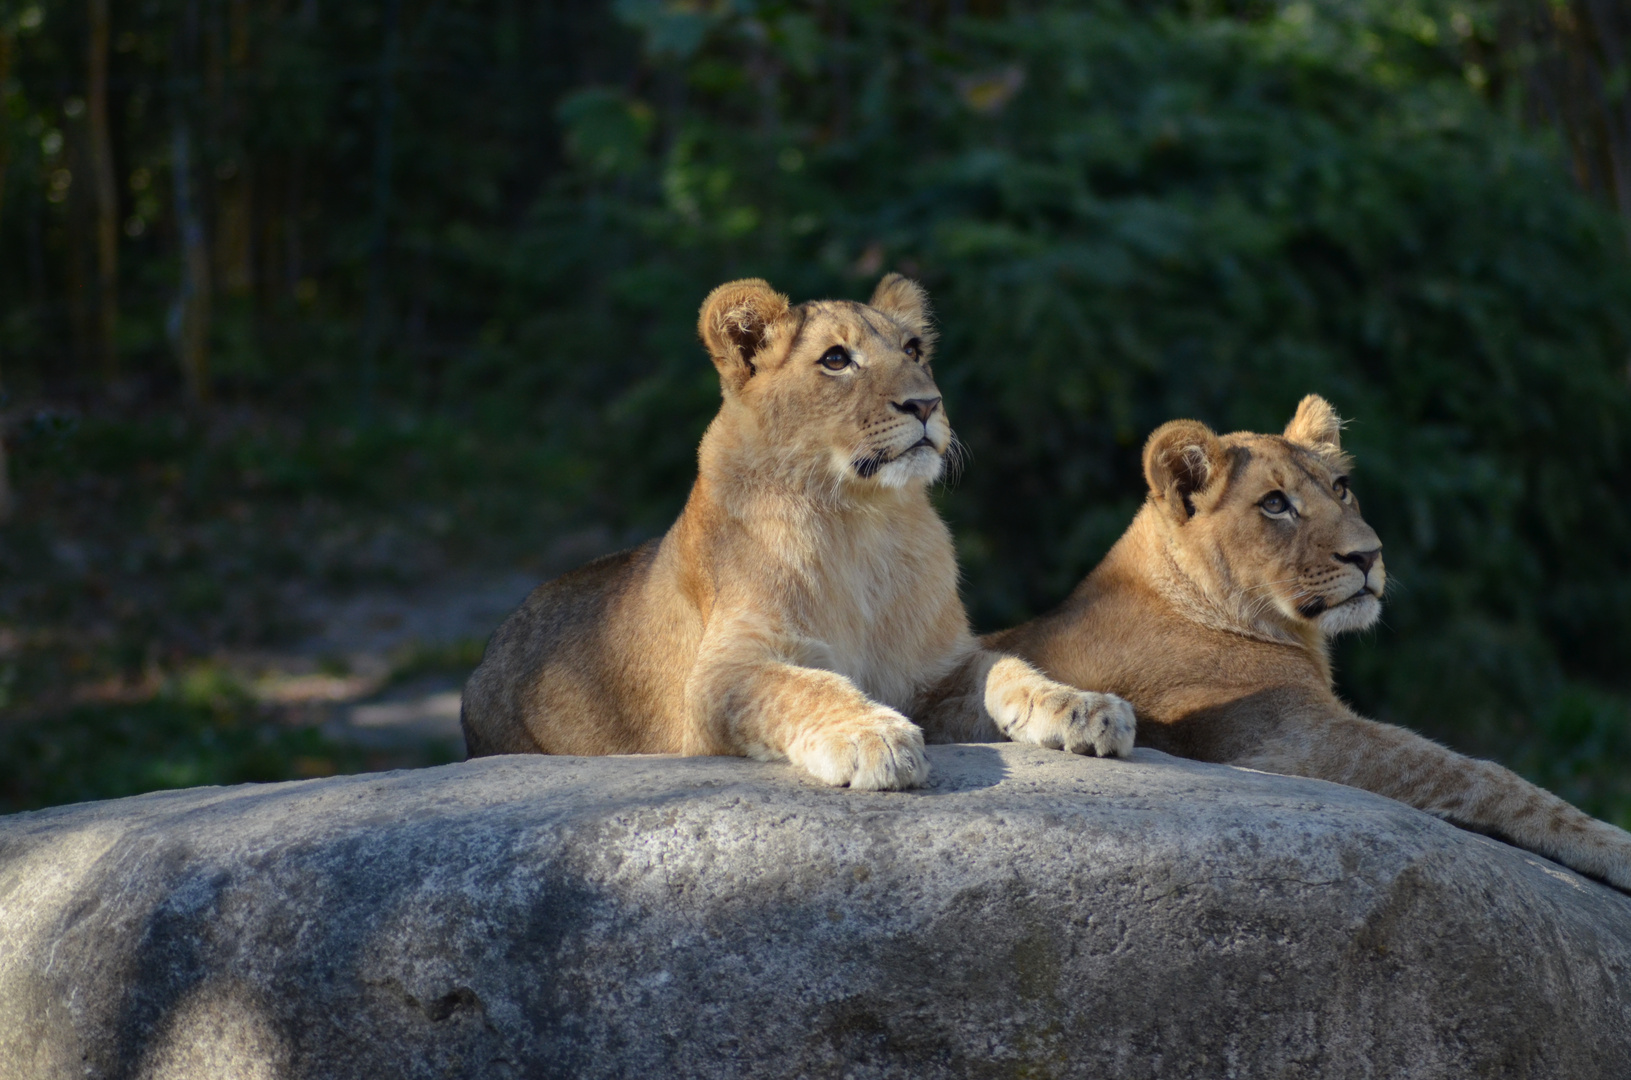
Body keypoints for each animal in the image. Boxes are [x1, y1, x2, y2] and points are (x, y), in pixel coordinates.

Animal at [463, 275, 1135, 792]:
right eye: (836, 359)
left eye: (915, 348)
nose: (927, 404)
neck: (863, 523)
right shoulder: (715, 681)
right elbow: (802, 684)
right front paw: (870, 736)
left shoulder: (933, 672)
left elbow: (1008, 667)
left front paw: (1086, 708)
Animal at [985, 398, 1631, 894]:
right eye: (1275, 504)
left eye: (1342, 489)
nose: (1369, 555)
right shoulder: (1285, 740)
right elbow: (1480, 774)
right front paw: (1614, 846)